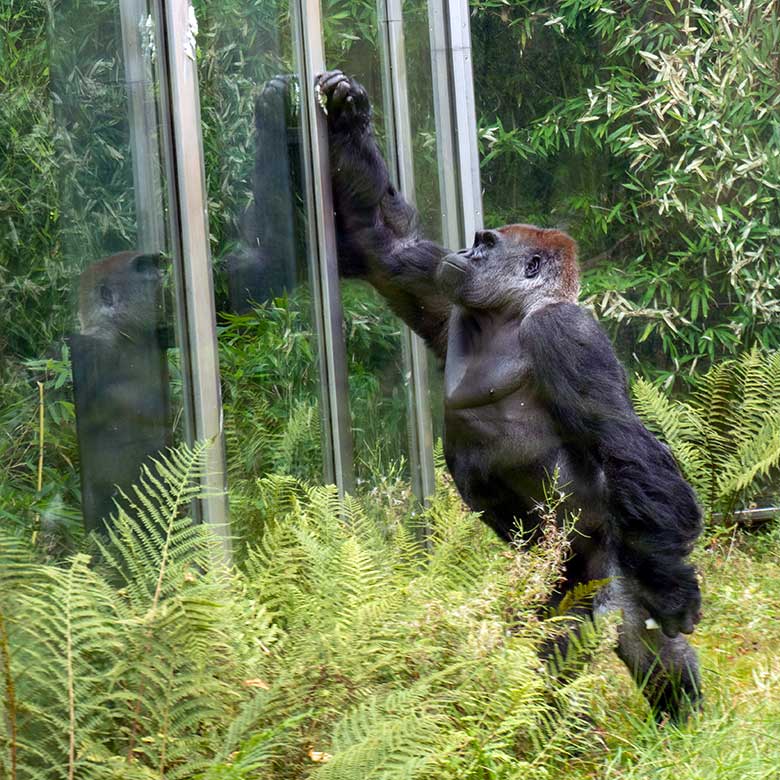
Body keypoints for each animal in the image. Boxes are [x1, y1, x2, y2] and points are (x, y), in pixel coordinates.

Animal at [314, 71, 704, 720]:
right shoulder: (440, 284)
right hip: (559, 574)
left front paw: (673, 586)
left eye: (486, 244)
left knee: (621, 625)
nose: (464, 253)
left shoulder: (564, 333)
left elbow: (623, 440)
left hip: (610, 546)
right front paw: (347, 114)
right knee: (552, 632)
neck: (512, 314)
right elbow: (386, 245)